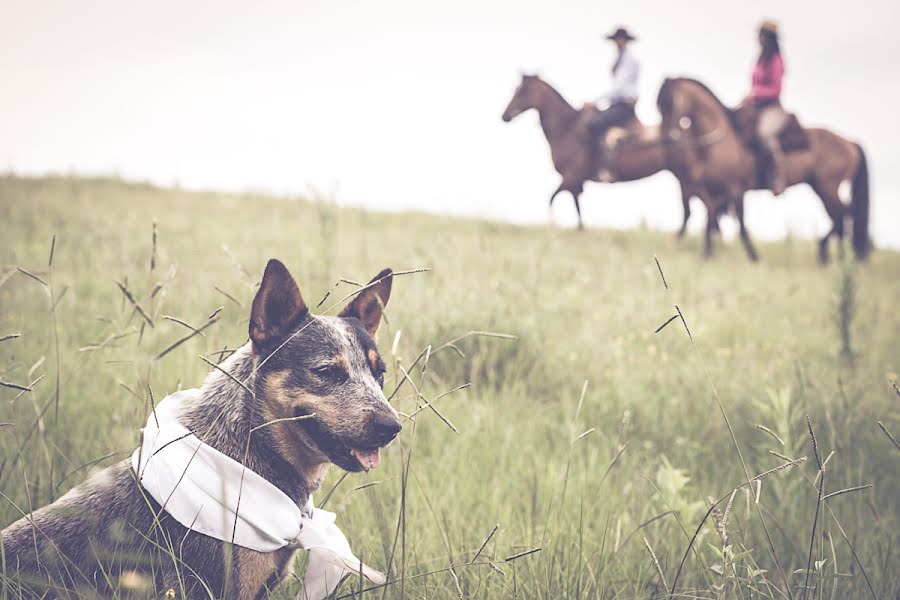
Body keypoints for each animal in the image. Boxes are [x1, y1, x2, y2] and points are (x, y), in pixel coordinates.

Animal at [500, 74, 704, 236]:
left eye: (523, 91)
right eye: (516, 89)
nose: (505, 115)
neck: (566, 130)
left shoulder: (571, 176)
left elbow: (552, 198)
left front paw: (554, 227)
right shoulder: (575, 180)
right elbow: (576, 205)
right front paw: (580, 231)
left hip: (685, 177)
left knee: (692, 210)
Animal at [652, 77, 872, 260]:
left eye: (670, 104)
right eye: (660, 107)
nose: (665, 139)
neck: (719, 141)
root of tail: (850, 142)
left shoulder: (735, 189)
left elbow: (739, 224)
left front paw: (752, 256)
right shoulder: (711, 189)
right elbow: (711, 215)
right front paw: (708, 253)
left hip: (828, 186)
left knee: (844, 213)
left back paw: (831, 253)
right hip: (820, 186)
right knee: (844, 214)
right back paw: (833, 255)